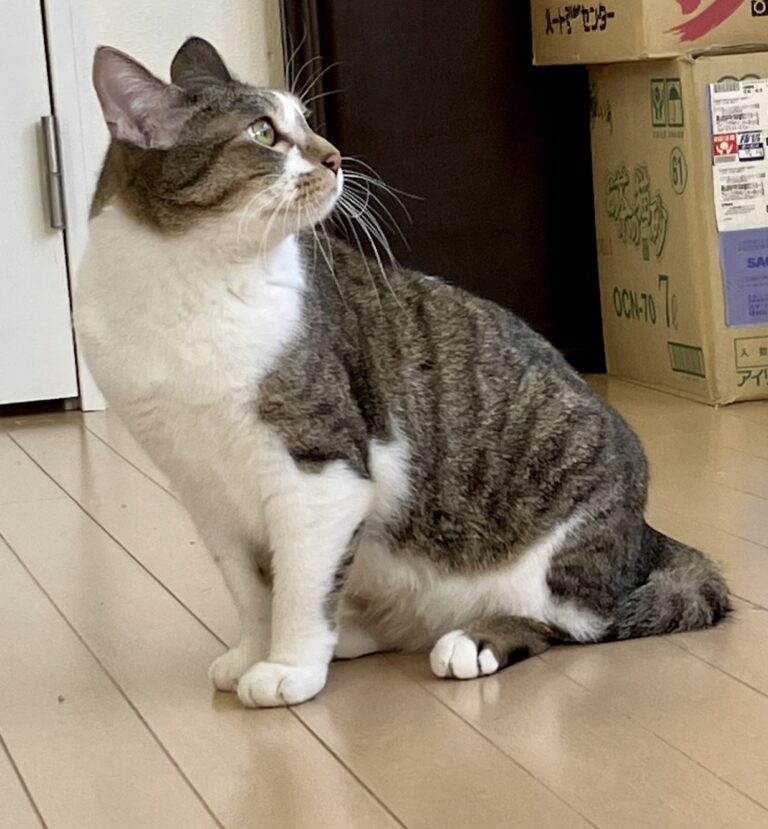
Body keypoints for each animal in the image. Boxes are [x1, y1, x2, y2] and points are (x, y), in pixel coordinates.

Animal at [75, 37, 729, 708]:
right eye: (262, 132)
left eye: (304, 121)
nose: (334, 156)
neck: (189, 283)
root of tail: (642, 533)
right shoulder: (203, 490)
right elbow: (251, 590)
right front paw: (252, 653)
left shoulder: (321, 474)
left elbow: (300, 589)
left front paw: (288, 667)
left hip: (559, 533)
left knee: (576, 619)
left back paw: (474, 639)